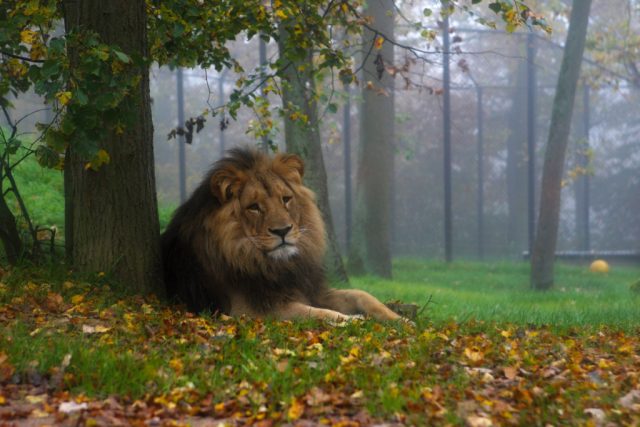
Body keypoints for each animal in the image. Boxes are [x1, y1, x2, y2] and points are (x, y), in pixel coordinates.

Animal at [161, 147, 400, 320]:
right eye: (254, 207)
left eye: (286, 199)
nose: (282, 231)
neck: (277, 266)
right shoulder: (250, 310)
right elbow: (313, 312)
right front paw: (351, 320)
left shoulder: (312, 290)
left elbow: (362, 294)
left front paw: (400, 320)